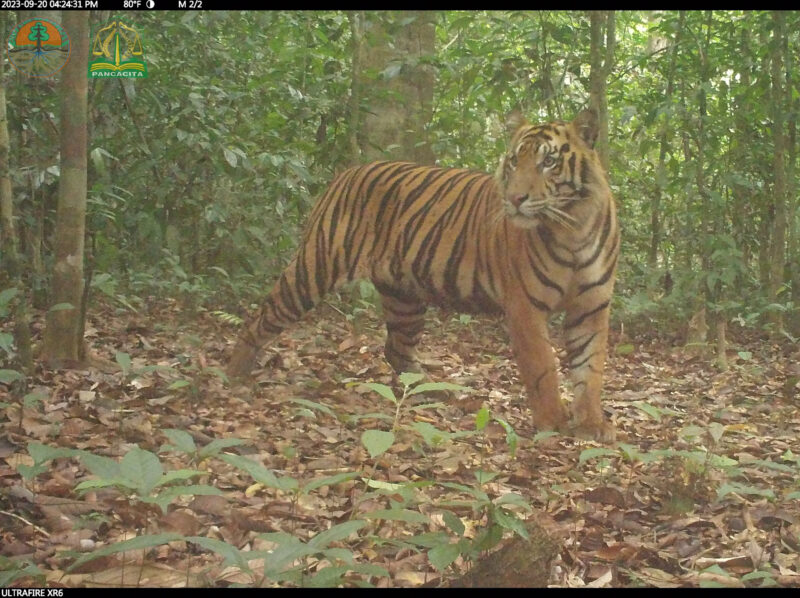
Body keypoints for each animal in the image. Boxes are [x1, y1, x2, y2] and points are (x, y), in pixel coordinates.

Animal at [227, 109, 619, 442]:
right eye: (513, 161)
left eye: (548, 161)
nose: (515, 198)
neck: (573, 227)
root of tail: (348, 171)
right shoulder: (525, 307)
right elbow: (543, 368)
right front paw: (552, 423)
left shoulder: (591, 308)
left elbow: (590, 369)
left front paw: (592, 425)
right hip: (315, 269)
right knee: (261, 318)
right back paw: (234, 374)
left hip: (405, 298)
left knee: (396, 348)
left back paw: (430, 392)